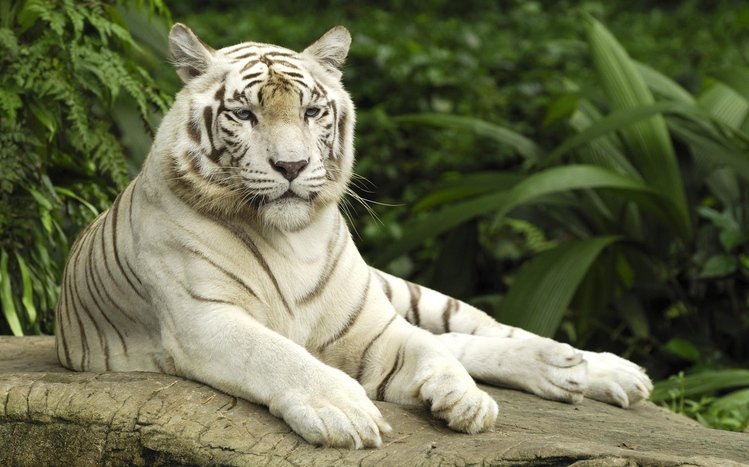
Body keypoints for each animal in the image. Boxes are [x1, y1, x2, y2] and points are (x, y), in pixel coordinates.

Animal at [55, 23, 653, 449]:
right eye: (244, 114)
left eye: (312, 111)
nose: (291, 166)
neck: (290, 239)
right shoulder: (205, 320)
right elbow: (277, 354)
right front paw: (345, 411)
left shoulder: (370, 326)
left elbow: (428, 350)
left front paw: (464, 399)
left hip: (404, 292)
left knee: (472, 331)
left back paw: (592, 368)